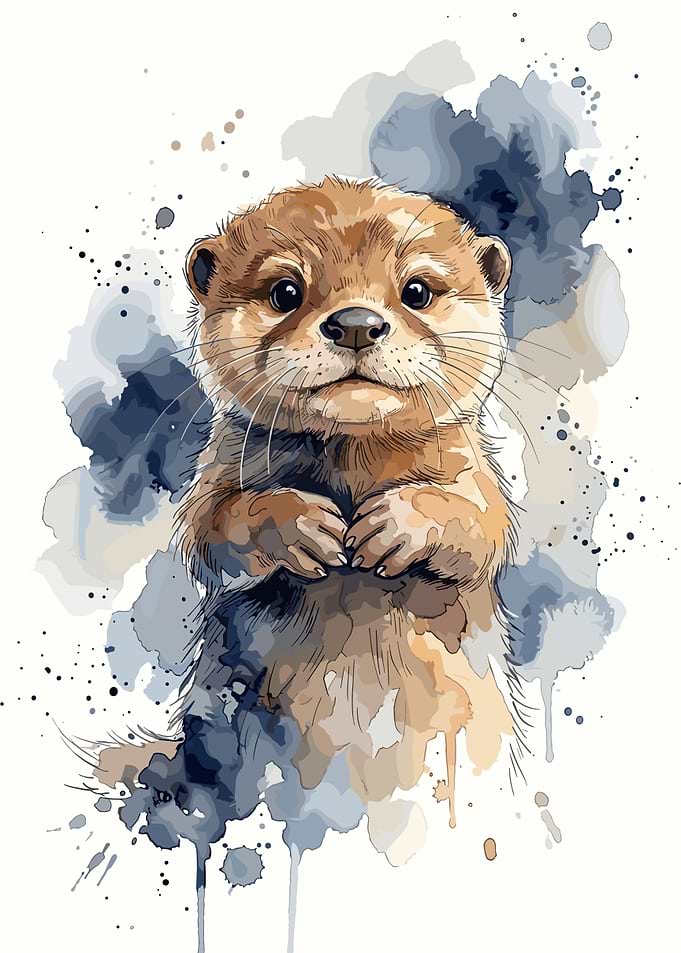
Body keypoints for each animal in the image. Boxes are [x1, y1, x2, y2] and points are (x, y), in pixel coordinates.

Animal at [166, 177, 519, 838]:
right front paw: (298, 525)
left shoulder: (477, 476)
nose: (356, 322)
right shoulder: (217, 472)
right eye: (286, 291)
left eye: (416, 291)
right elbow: (211, 530)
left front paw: (400, 524)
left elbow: (478, 528)